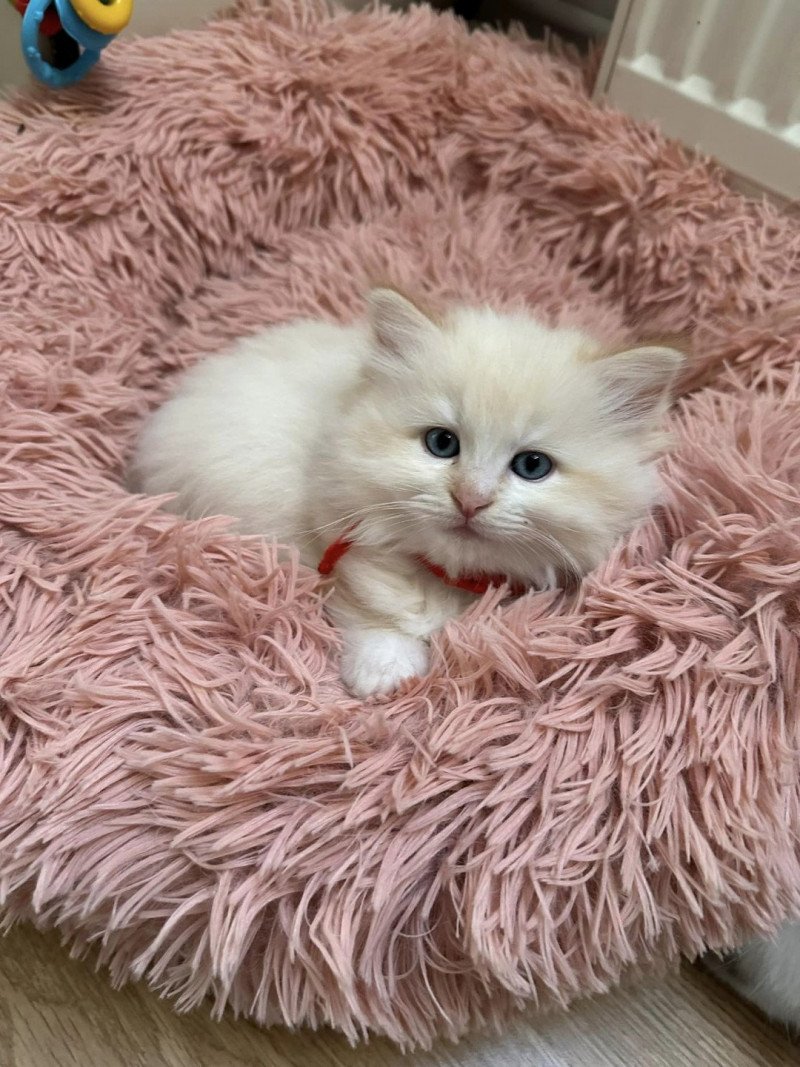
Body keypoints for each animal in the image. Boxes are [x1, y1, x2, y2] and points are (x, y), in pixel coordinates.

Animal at [130, 288, 682, 695]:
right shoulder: (337, 534)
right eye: (442, 443)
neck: (453, 577)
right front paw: (384, 674)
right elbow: (372, 605)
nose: (471, 499)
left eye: (532, 466)